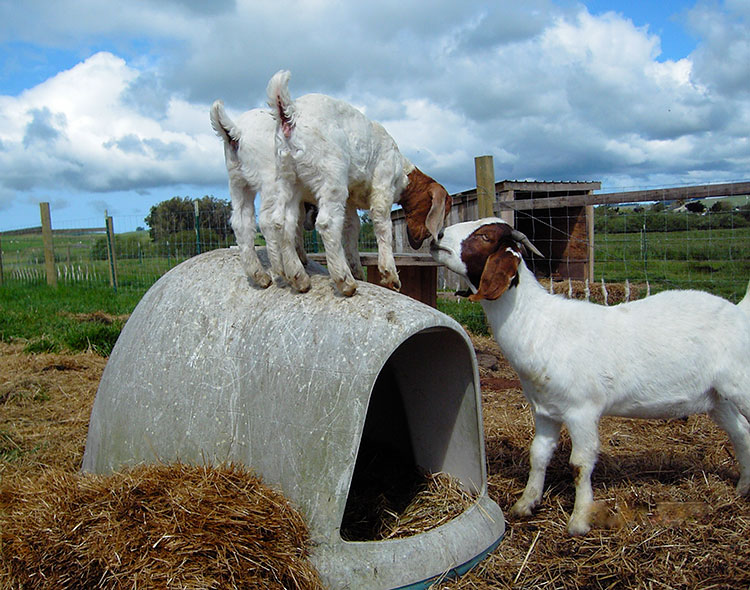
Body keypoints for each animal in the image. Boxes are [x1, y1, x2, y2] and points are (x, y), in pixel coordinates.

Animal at [268, 71, 452, 298]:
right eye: (442, 211)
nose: (422, 241)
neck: (402, 171)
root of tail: (289, 113)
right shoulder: (383, 184)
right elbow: (383, 224)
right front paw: (390, 275)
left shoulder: (350, 200)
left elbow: (351, 228)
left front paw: (357, 269)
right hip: (331, 175)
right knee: (327, 223)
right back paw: (344, 281)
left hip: (288, 180)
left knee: (282, 222)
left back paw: (299, 278)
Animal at [432, 217, 750, 536]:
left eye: (485, 236)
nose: (438, 236)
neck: (540, 324)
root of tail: (738, 312)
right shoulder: (545, 410)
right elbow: (538, 454)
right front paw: (526, 504)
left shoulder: (581, 410)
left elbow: (580, 464)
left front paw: (579, 520)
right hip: (718, 398)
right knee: (741, 433)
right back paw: (742, 489)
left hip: (742, 385)